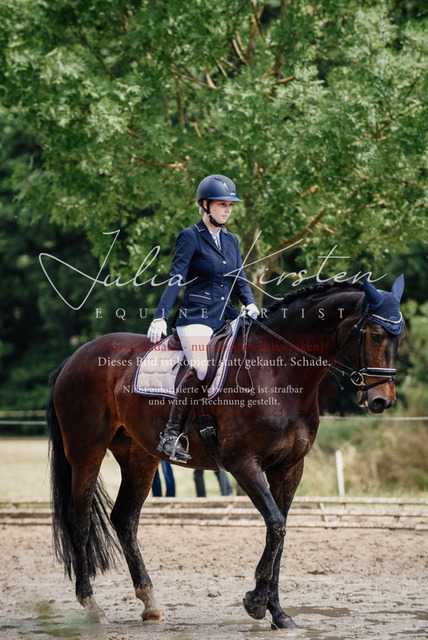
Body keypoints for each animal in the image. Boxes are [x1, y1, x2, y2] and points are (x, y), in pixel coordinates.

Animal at [46, 279, 404, 630]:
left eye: (399, 339)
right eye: (375, 334)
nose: (382, 400)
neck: (279, 372)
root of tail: (74, 357)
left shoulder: (290, 468)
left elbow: (280, 531)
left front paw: (277, 612)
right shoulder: (243, 464)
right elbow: (276, 525)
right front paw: (256, 603)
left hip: (139, 456)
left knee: (125, 518)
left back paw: (150, 604)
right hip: (86, 451)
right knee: (80, 520)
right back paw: (93, 607)